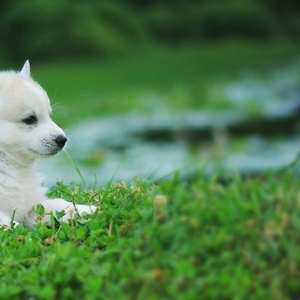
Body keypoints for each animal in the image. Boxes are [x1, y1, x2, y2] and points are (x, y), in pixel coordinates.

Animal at [0, 61, 95, 227]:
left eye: (50, 115)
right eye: (29, 119)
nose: (63, 140)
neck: (10, 166)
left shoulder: (32, 207)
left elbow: (58, 204)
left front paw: (87, 210)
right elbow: (11, 226)